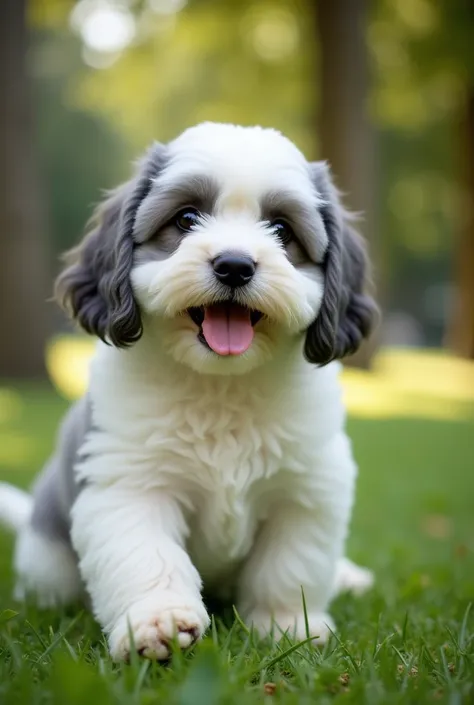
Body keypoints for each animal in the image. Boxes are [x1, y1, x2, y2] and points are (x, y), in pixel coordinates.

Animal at [0, 122, 378, 660]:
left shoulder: (307, 489)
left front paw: (286, 625)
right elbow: (148, 558)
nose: (235, 265)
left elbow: (289, 566)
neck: (221, 385)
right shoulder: (132, 486)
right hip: (48, 563)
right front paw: (158, 623)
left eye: (282, 230)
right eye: (186, 219)